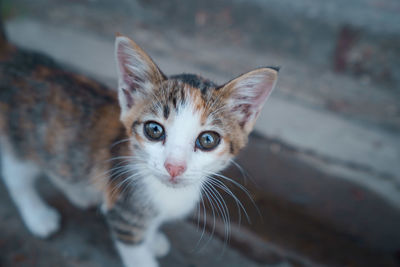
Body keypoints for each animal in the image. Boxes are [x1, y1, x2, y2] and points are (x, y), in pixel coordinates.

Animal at [0, 24, 278, 267]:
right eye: (154, 130)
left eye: (207, 140)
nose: (174, 167)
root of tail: (15, 56)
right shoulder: (124, 215)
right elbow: (137, 253)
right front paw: (147, 247)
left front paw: (153, 240)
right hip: (18, 140)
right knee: (16, 177)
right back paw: (38, 216)